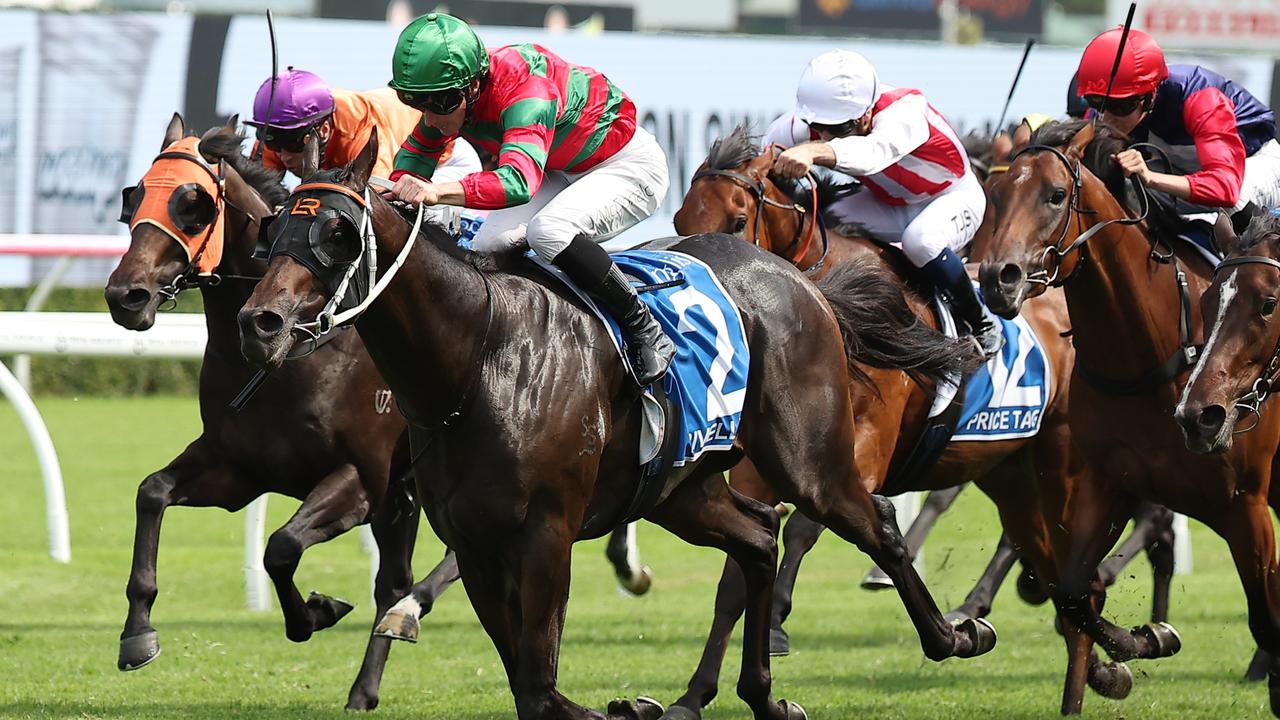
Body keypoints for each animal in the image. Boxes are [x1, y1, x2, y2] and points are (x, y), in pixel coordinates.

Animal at [240, 128, 993, 717]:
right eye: (274, 227)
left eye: (339, 233)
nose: (261, 322)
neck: (477, 358)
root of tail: (804, 280)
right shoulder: (477, 544)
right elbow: (528, 686)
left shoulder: (547, 533)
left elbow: (540, 688)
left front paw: (629, 707)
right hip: (679, 488)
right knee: (758, 539)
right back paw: (762, 696)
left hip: (810, 462)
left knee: (875, 526)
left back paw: (959, 634)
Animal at [675, 127, 1172, 712]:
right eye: (680, 219)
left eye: (736, 220)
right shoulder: (761, 467)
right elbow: (735, 577)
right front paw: (692, 696)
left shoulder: (862, 451)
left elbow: (803, 528)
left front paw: (776, 622)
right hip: (1014, 478)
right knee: (1062, 580)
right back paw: (1101, 670)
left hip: (1069, 470)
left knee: (1083, 575)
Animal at [972, 119, 1274, 712]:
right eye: (991, 195)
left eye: (1055, 195)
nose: (998, 277)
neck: (1146, 357)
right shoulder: (1105, 482)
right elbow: (1073, 593)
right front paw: (1143, 643)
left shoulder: (1242, 502)